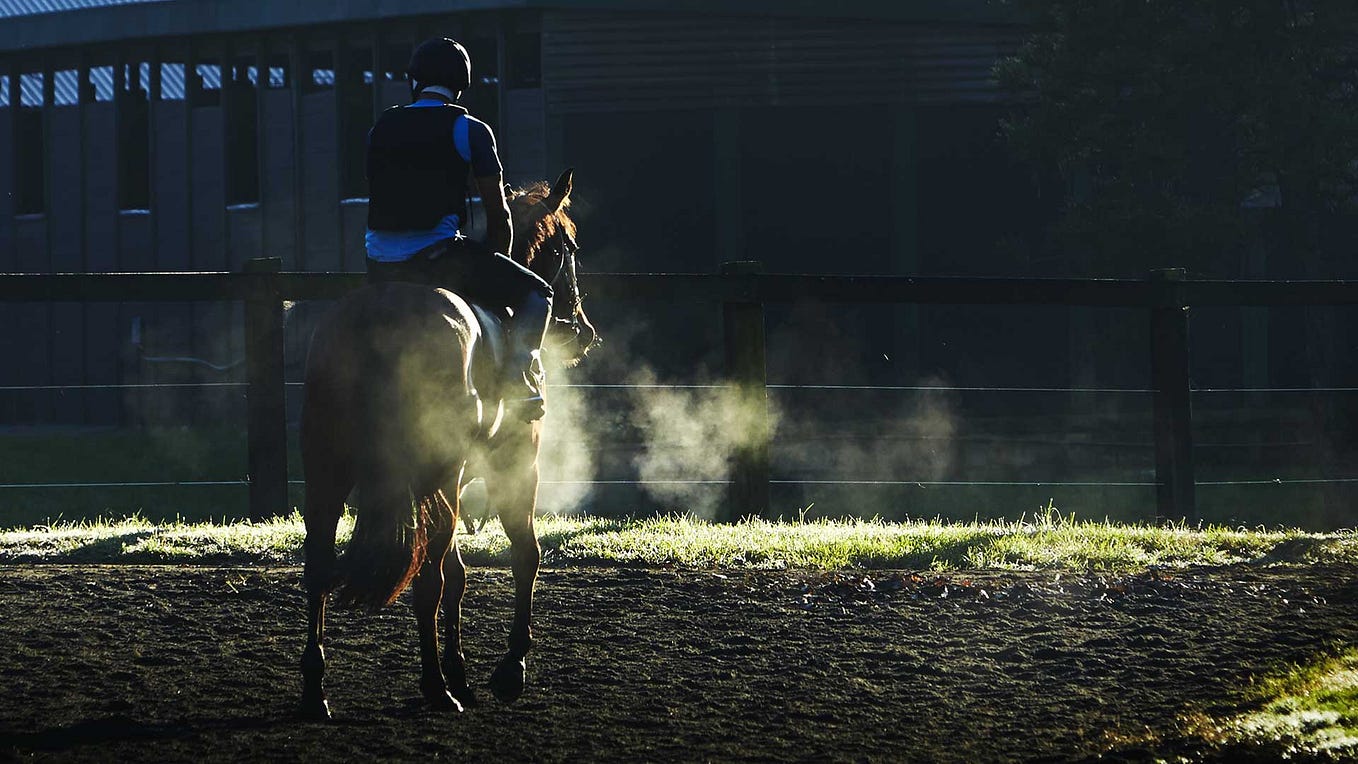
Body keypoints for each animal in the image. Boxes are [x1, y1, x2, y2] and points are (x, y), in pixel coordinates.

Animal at [297, 169, 597, 720]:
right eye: (568, 245)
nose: (582, 330)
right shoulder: (515, 468)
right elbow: (523, 556)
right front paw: (509, 668)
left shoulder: (453, 485)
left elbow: (459, 576)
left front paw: (463, 670)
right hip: (434, 471)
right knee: (426, 581)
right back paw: (436, 687)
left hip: (328, 471)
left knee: (320, 568)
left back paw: (316, 690)